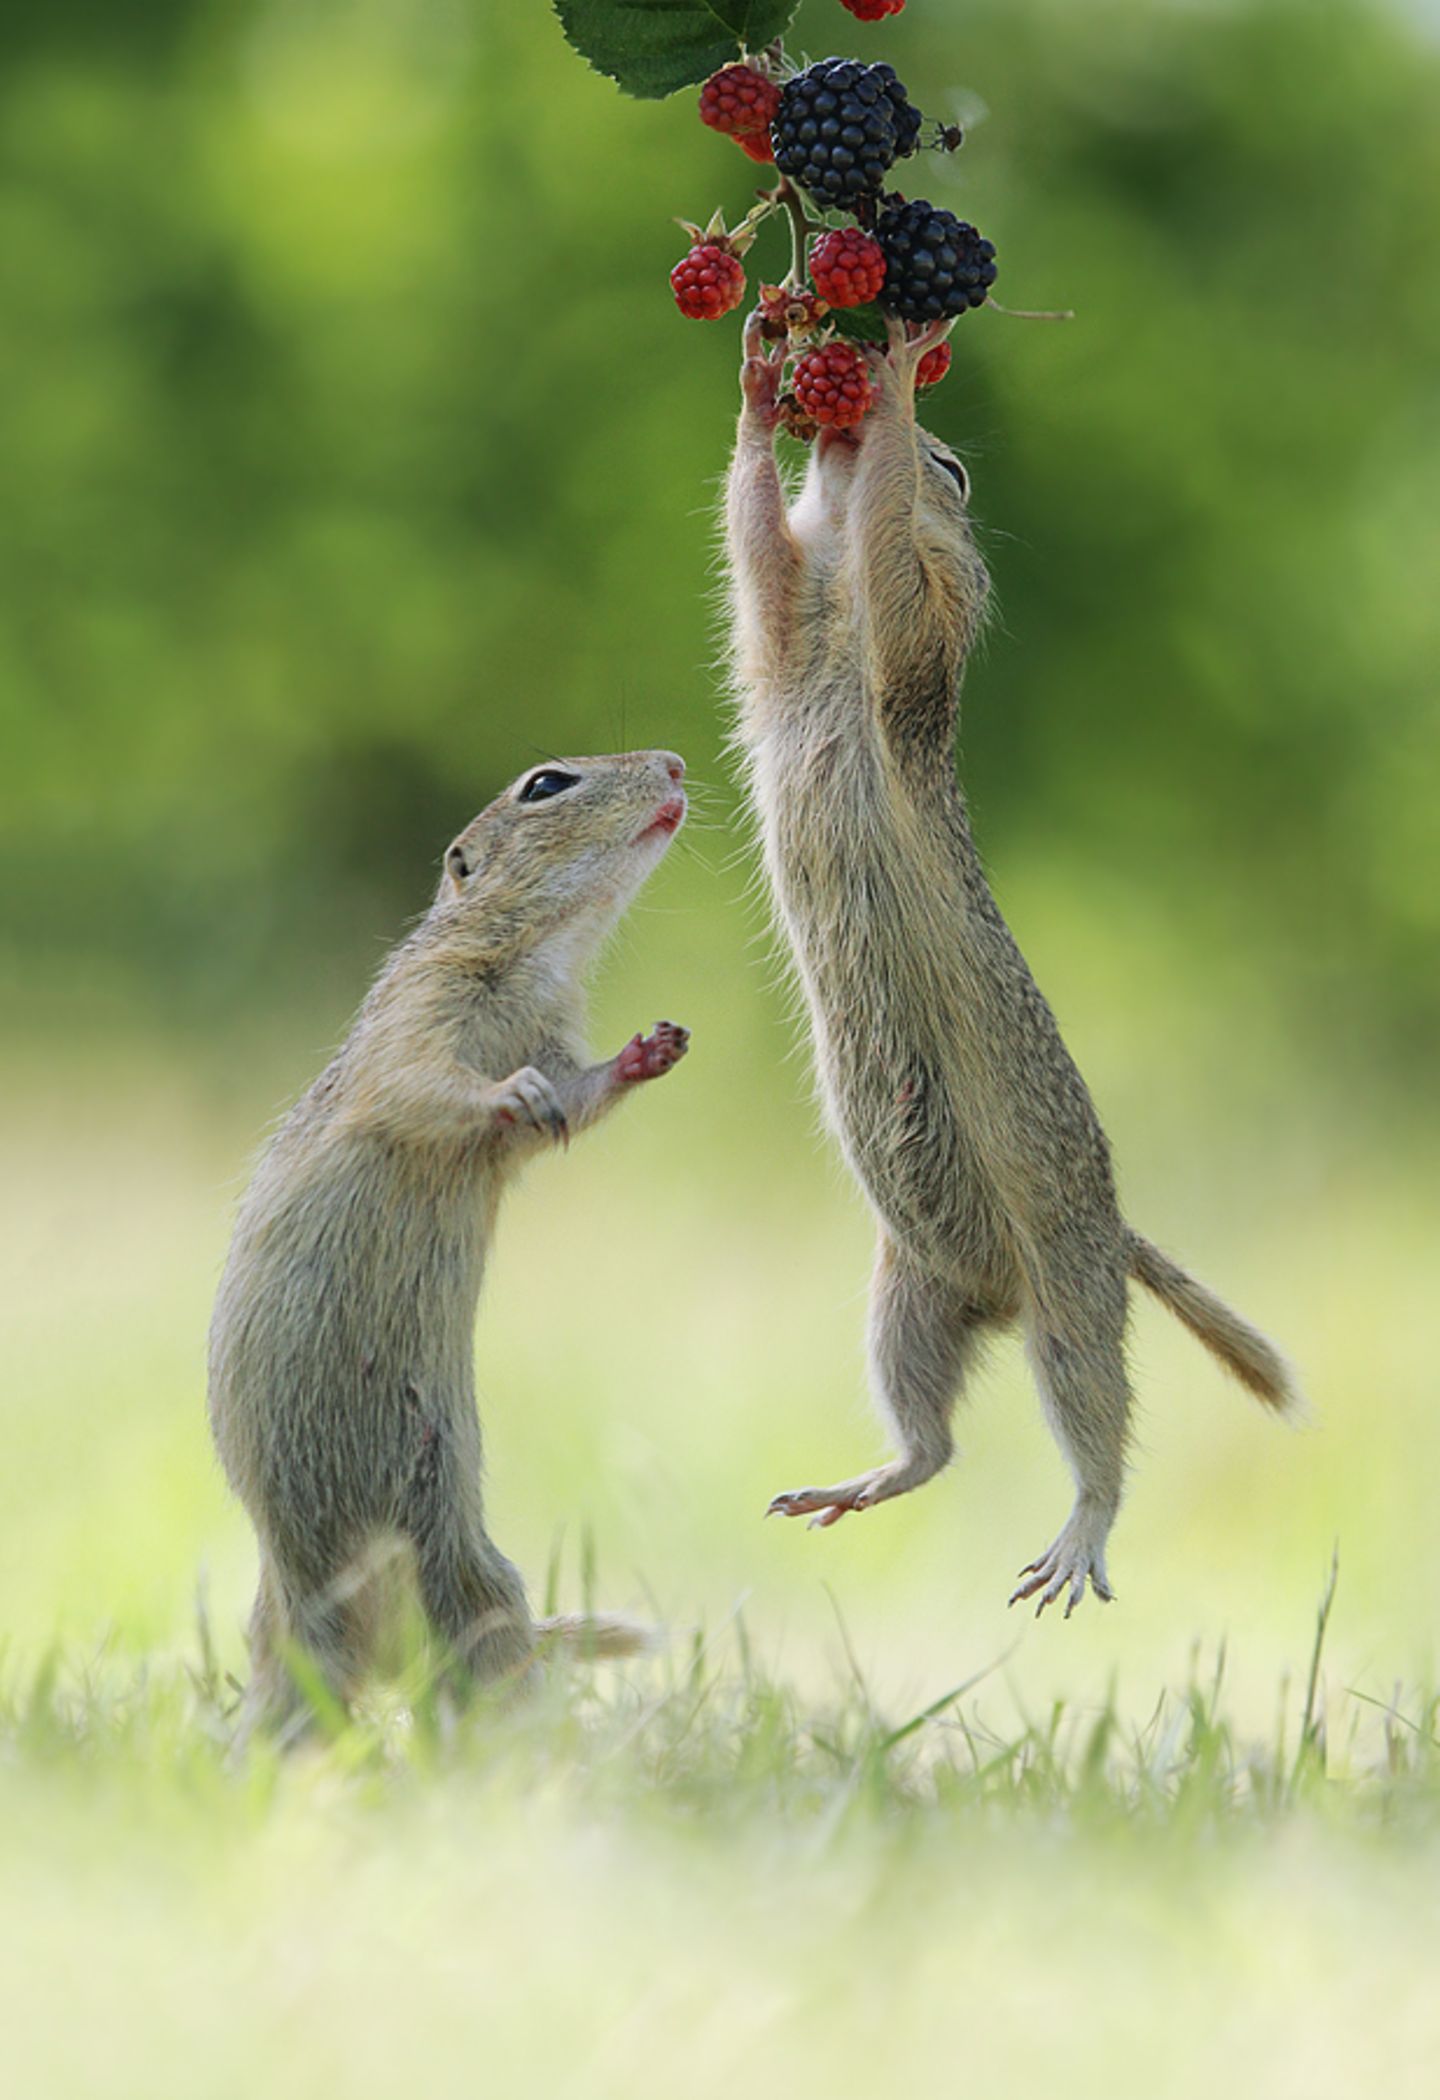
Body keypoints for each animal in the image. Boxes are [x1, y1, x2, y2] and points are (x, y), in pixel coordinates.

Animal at [207, 747, 692, 1730]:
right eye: (546, 784)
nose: (676, 762)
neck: (542, 957)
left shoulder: (551, 1043)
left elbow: (573, 1101)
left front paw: (649, 1051)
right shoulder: (418, 1008)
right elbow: (425, 1083)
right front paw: (507, 1093)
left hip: (465, 1573)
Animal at [726, 310, 1301, 1612]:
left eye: (958, 469)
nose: (834, 408)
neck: (832, 647)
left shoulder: (919, 627)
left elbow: (894, 562)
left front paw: (888, 388)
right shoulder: (783, 636)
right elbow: (759, 549)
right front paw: (761, 381)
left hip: (1070, 1297)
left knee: (1098, 1421)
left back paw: (1082, 1533)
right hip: (905, 1293)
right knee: (935, 1444)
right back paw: (858, 1481)